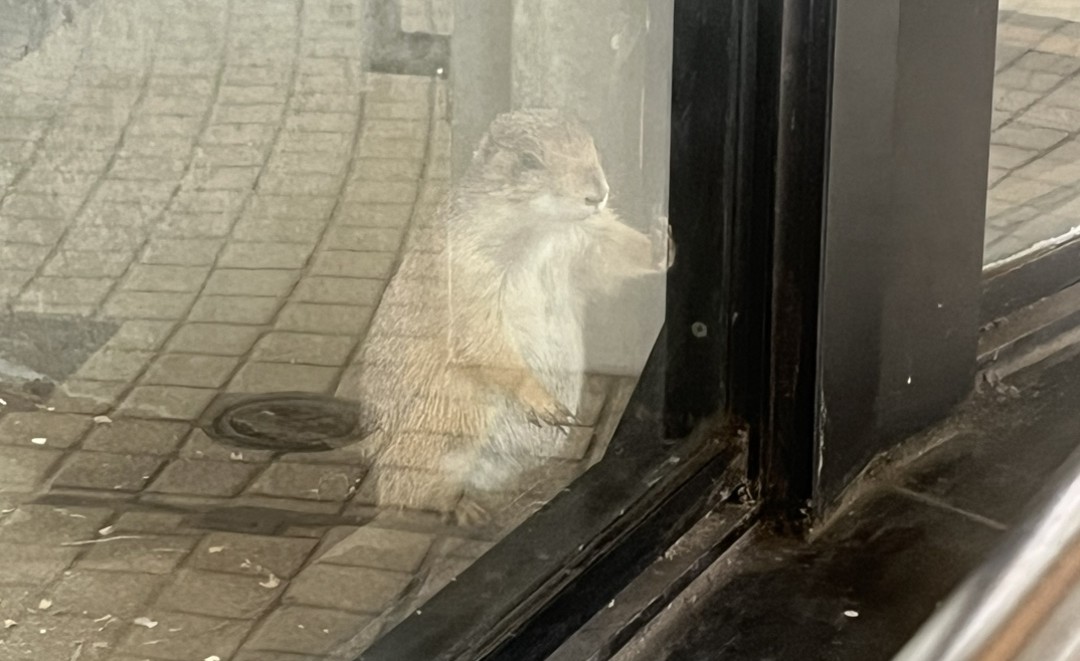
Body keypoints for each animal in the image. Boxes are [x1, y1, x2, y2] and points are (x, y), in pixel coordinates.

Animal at [337, 108, 672, 525]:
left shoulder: (584, 238)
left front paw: (659, 242)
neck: (542, 233)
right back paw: (463, 507)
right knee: (405, 493)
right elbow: (481, 333)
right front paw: (542, 400)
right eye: (528, 161)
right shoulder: (467, 267)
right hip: (453, 410)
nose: (598, 194)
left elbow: (610, 253)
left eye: (591, 143)